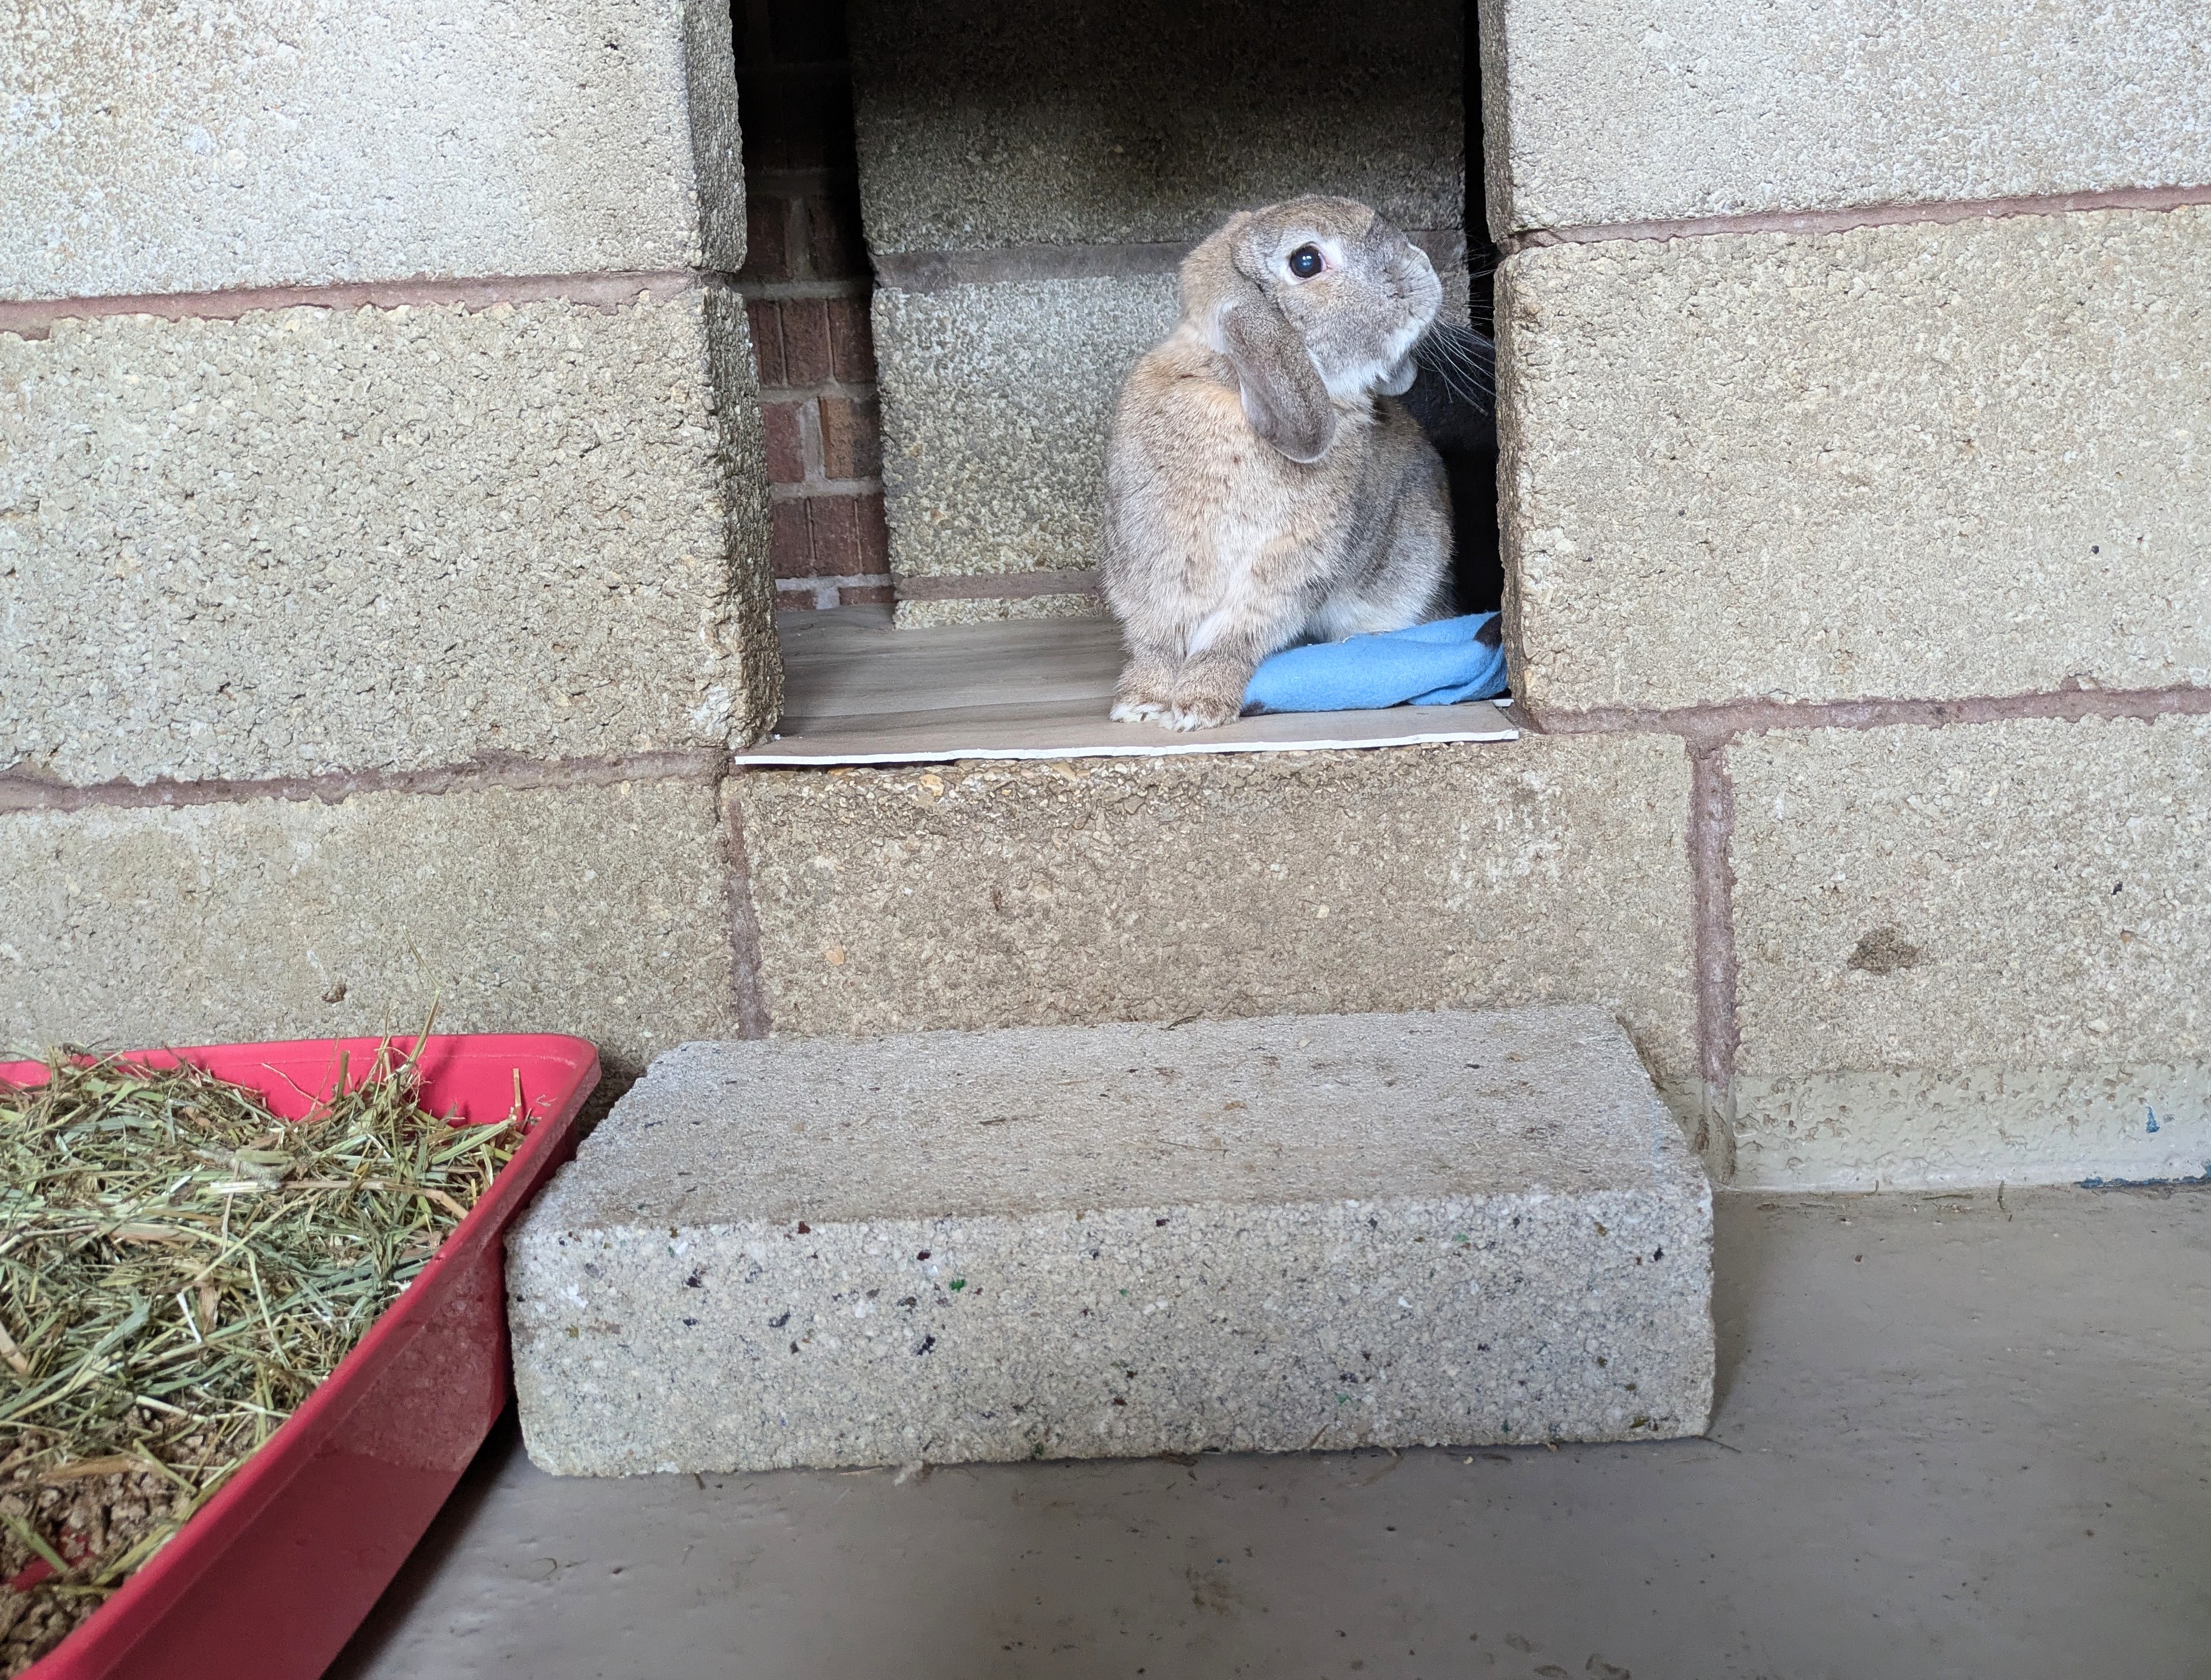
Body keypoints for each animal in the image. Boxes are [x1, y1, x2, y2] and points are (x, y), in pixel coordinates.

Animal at [1100, 196, 1455, 730]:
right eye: (1306, 262)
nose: (1426, 274)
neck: (1231, 390)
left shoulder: (1286, 565)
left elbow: (1231, 639)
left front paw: (1199, 707)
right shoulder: (1160, 556)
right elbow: (1160, 638)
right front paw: (1141, 702)